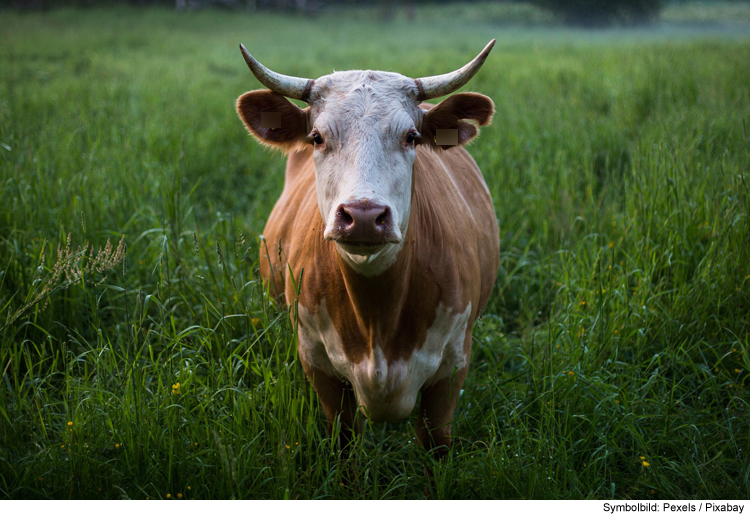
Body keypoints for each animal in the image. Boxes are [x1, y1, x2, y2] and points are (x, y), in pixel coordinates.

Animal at [238, 41, 502, 458]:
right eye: (317, 137)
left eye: (411, 136)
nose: (363, 216)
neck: (377, 317)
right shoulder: (319, 366)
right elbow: (345, 442)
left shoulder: (452, 370)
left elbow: (435, 445)